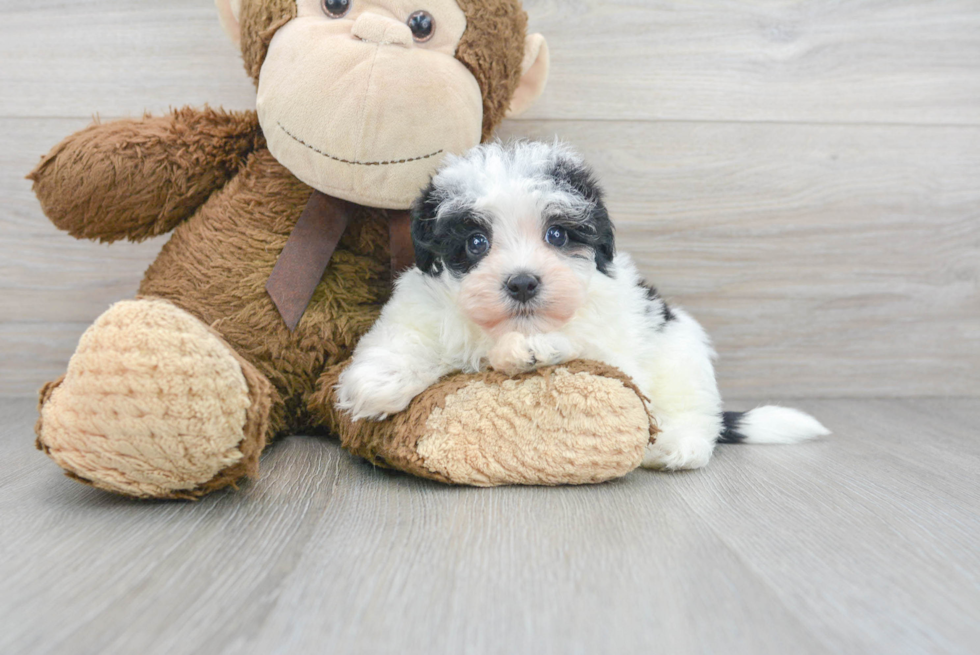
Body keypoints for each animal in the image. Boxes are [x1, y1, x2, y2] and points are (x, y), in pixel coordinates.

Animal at [336, 142, 828, 472]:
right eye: (476, 242)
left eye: (557, 235)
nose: (522, 282)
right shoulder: (423, 302)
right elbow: (408, 334)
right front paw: (377, 382)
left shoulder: (609, 341)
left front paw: (526, 351)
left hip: (681, 353)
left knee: (694, 409)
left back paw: (678, 445)